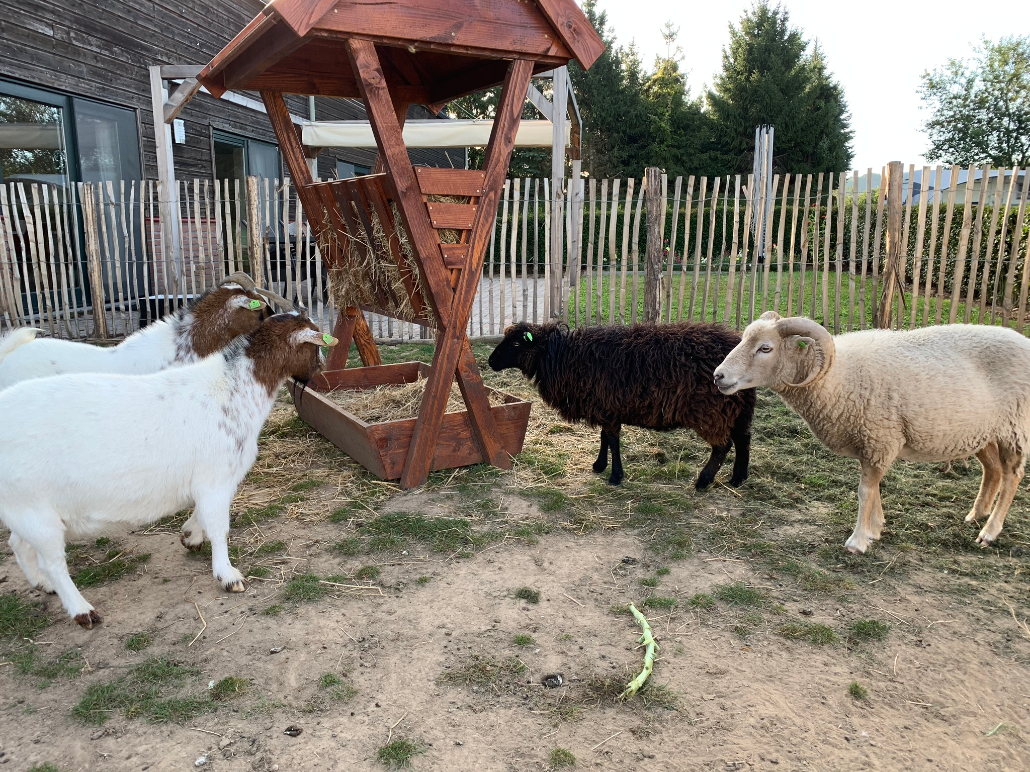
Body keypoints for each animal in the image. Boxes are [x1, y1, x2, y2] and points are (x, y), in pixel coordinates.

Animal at [0, 314, 337, 629]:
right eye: (314, 345)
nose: (320, 369)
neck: (232, 389)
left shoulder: (212, 482)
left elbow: (203, 515)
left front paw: (190, 536)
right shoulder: (215, 478)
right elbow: (219, 527)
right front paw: (228, 576)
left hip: (24, 507)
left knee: (18, 543)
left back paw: (43, 584)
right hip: (34, 510)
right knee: (54, 562)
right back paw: (82, 610)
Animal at [486, 321, 753, 489]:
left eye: (516, 344)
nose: (490, 361)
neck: (563, 356)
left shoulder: (609, 408)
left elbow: (613, 441)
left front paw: (615, 476)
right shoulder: (605, 407)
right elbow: (604, 438)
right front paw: (599, 466)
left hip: (711, 410)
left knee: (723, 446)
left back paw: (703, 481)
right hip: (737, 408)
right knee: (743, 439)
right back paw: (738, 478)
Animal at [712, 314, 1030, 555]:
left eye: (765, 348)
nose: (718, 376)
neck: (836, 377)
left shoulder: (880, 440)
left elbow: (865, 491)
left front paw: (858, 541)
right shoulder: (872, 444)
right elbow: (874, 490)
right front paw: (876, 529)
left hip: (1015, 429)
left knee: (1012, 476)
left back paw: (989, 531)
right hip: (983, 432)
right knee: (992, 471)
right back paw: (976, 515)